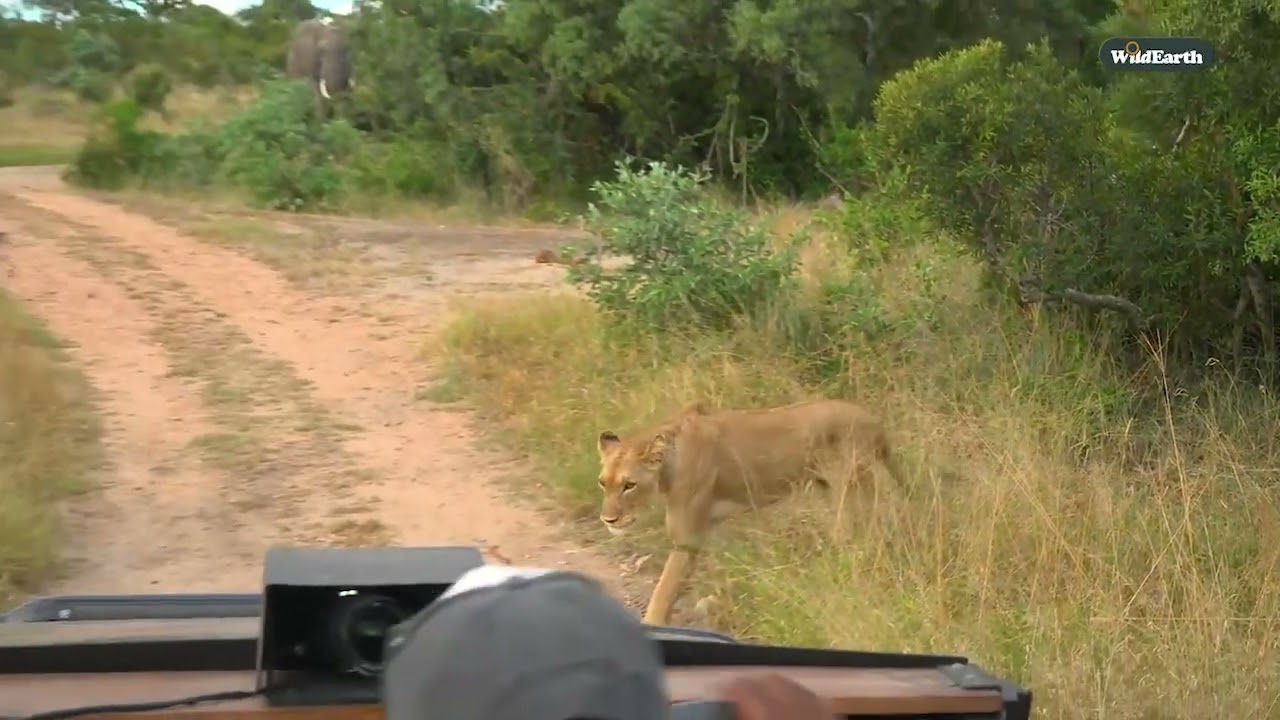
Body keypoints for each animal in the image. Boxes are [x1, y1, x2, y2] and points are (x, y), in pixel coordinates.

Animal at [596, 398, 901, 625]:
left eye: (629, 485)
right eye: (603, 483)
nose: (608, 519)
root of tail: (873, 421)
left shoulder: (688, 537)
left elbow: (663, 591)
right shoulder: (710, 526)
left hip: (850, 492)